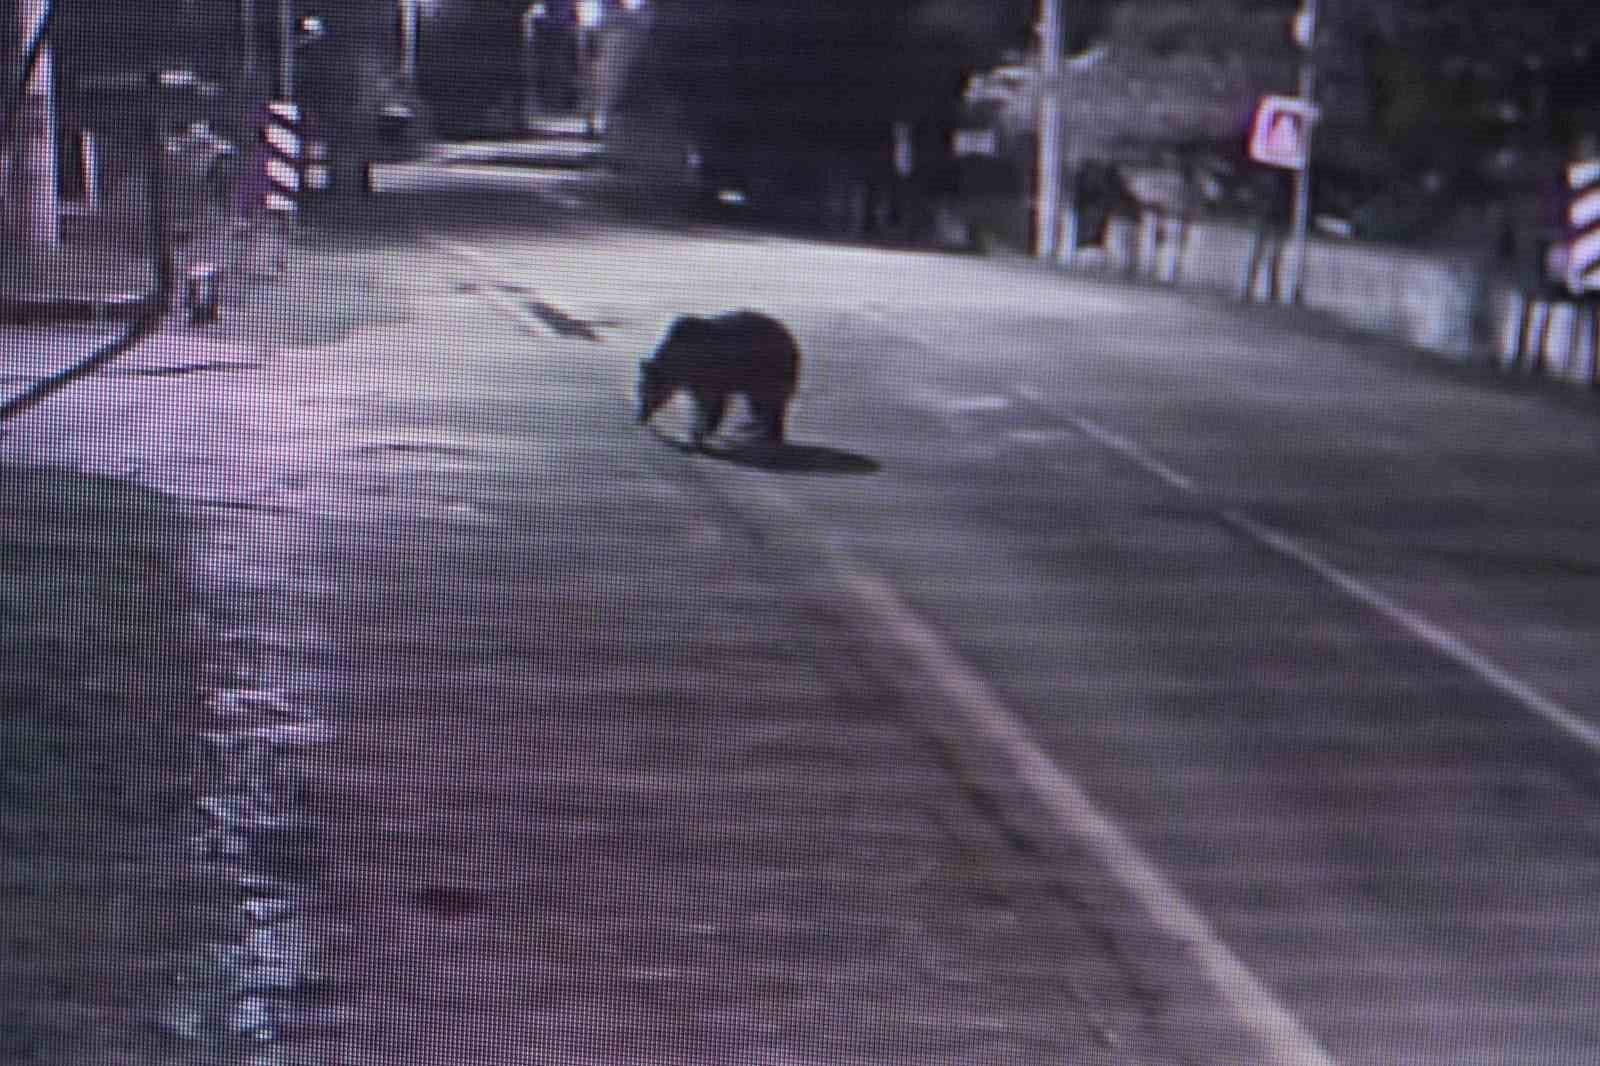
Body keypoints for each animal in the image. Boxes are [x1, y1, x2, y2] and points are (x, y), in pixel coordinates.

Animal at [636, 308, 800, 444]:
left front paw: (699, 431)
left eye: (647, 395)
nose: (640, 418)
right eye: (640, 392)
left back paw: (767, 429)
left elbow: (710, 404)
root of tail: (791, 344)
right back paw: (759, 424)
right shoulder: (701, 379)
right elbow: (707, 404)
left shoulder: (707, 374)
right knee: (757, 400)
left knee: (768, 400)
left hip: (767, 369)